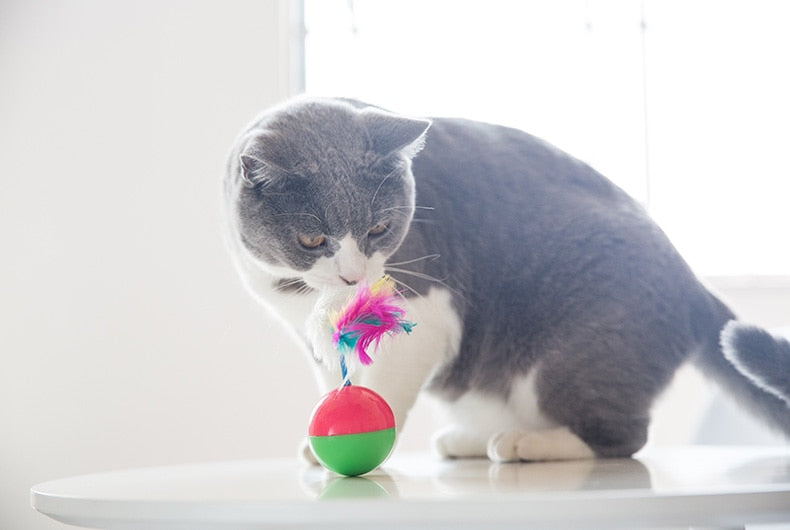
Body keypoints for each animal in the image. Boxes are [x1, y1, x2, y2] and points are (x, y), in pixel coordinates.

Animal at [221, 97, 790, 460]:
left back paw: (528, 445)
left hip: (576, 354)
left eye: (380, 229)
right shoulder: (312, 336)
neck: (305, 295)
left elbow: (384, 389)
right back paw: (470, 442)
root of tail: (694, 285)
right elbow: (337, 380)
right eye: (312, 240)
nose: (353, 275)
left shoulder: (424, 314)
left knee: (624, 437)